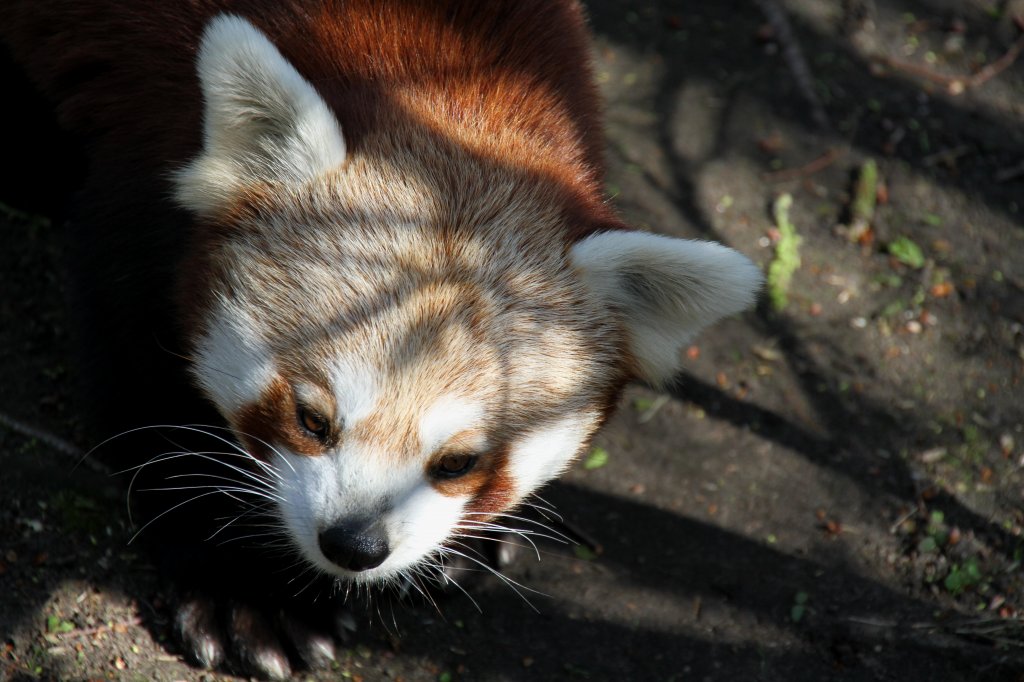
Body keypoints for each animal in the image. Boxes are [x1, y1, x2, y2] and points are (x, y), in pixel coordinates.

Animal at [6, 0, 761, 675]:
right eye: (311, 419)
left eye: (458, 462)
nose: (355, 544)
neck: (434, 63)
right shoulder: (138, 146)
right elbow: (146, 387)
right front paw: (245, 590)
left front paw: (461, 548)